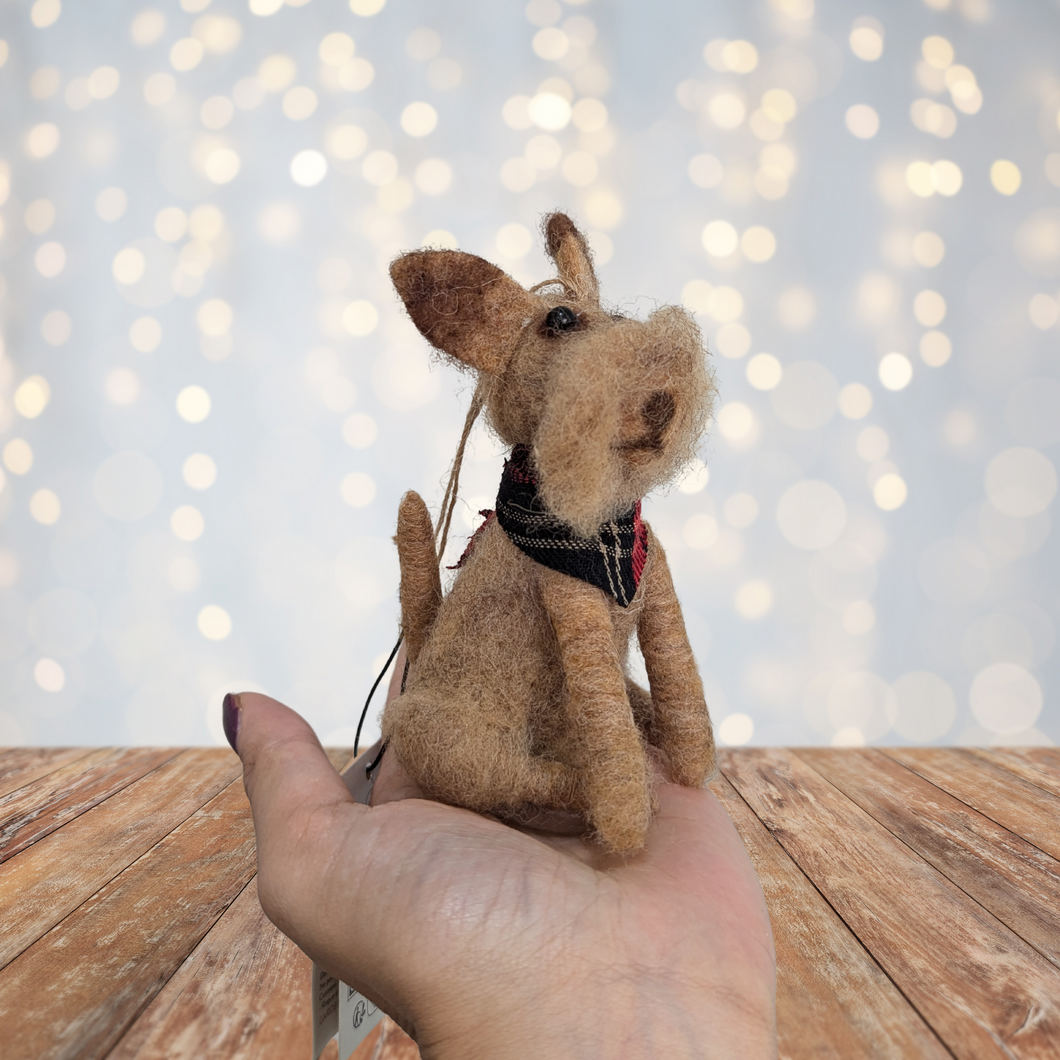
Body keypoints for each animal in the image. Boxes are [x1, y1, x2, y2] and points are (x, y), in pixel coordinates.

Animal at [377, 213, 716, 852]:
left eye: (621, 316)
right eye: (559, 321)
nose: (661, 399)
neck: (606, 528)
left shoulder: (658, 584)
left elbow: (679, 679)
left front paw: (694, 762)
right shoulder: (573, 604)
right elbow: (607, 724)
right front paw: (626, 814)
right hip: (447, 737)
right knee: (519, 775)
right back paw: (601, 791)